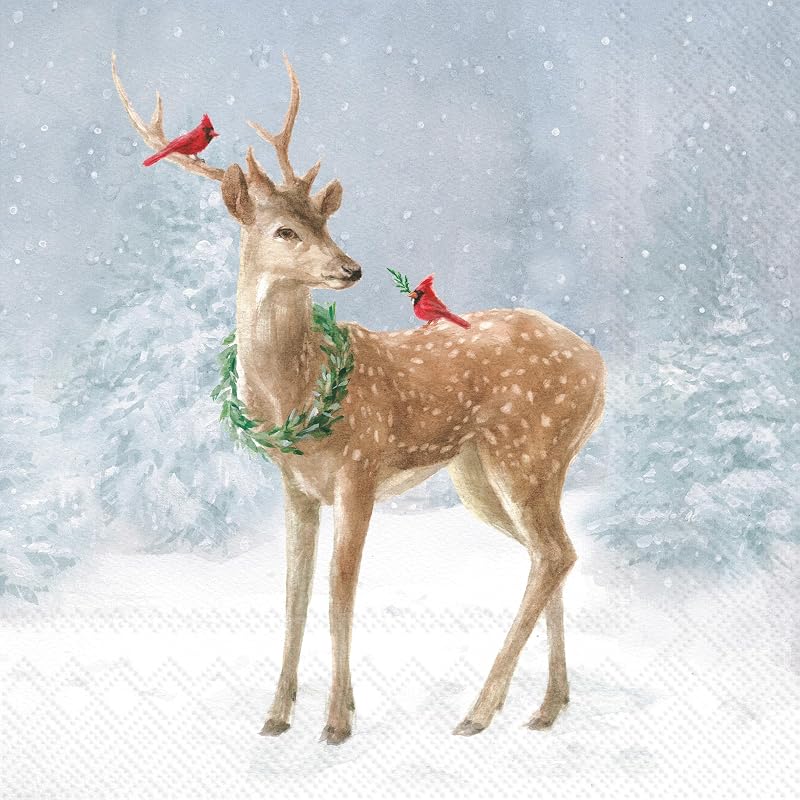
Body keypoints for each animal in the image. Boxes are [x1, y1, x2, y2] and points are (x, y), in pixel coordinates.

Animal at [112, 53, 606, 745]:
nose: (350, 268)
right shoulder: (296, 486)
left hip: (526, 447)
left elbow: (339, 592)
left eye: (327, 222)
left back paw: (479, 710)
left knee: (554, 552)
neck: (292, 396)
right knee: (551, 553)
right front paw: (277, 715)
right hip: (488, 470)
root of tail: (600, 368)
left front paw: (337, 721)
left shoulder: (360, 469)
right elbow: (294, 594)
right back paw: (546, 706)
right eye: (285, 230)